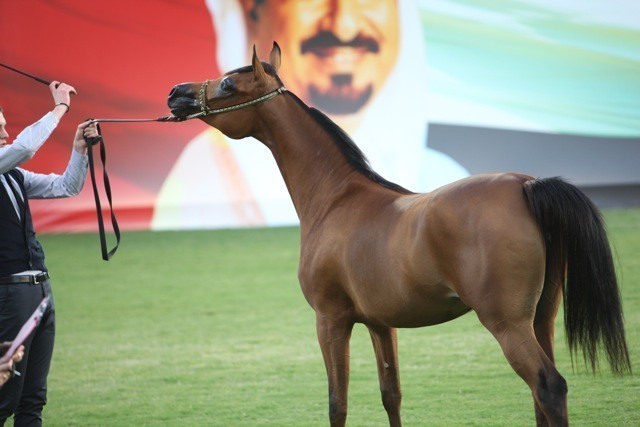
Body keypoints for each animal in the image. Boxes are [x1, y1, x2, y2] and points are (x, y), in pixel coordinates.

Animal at [166, 43, 631, 426]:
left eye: (229, 83)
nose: (176, 94)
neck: (338, 197)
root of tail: (525, 185)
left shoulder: (331, 321)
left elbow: (337, 404)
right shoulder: (380, 324)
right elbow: (391, 395)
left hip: (507, 324)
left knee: (548, 388)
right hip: (541, 319)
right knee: (540, 396)